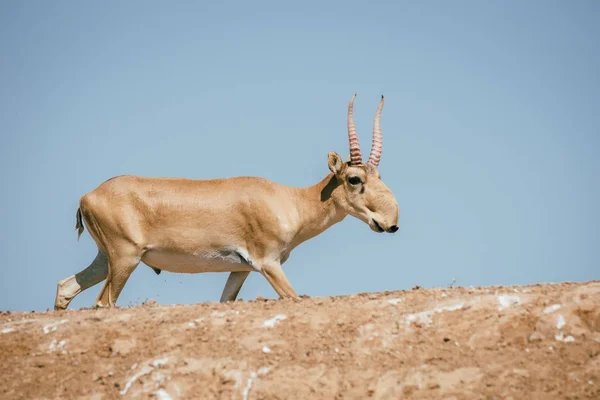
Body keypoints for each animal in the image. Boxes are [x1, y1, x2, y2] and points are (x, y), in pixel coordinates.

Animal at [55, 94, 398, 310]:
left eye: (379, 175)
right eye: (354, 179)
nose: (391, 223)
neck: (290, 200)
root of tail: (89, 196)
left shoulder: (241, 270)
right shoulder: (269, 264)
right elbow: (293, 297)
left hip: (106, 260)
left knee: (65, 288)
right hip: (125, 259)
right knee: (103, 302)